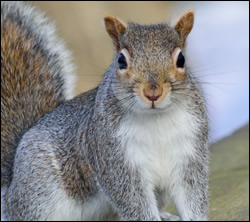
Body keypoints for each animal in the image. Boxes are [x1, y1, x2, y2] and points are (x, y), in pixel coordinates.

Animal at [1, 0, 209, 221]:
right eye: (121, 61)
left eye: (181, 60)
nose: (153, 92)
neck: (155, 119)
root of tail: (12, 184)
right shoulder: (114, 160)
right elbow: (134, 202)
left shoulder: (190, 155)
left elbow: (192, 196)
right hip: (38, 191)